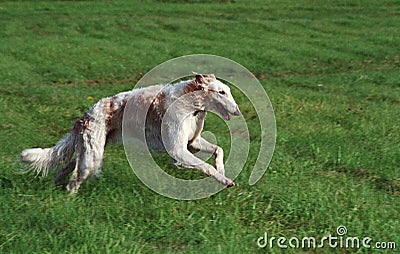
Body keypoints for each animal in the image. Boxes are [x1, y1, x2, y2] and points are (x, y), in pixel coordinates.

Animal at [20, 73, 241, 192]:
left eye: (228, 91)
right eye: (221, 92)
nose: (238, 111)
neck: (191, 107)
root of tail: (86, 115)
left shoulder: (191, 143)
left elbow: (218, 150)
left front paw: (222, 171)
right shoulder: (178, 150)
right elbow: (206, 166)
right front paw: (225, 180)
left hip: (90, 151)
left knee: (66, 168)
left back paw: (55, 185)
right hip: (92, 158)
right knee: (73, 182)